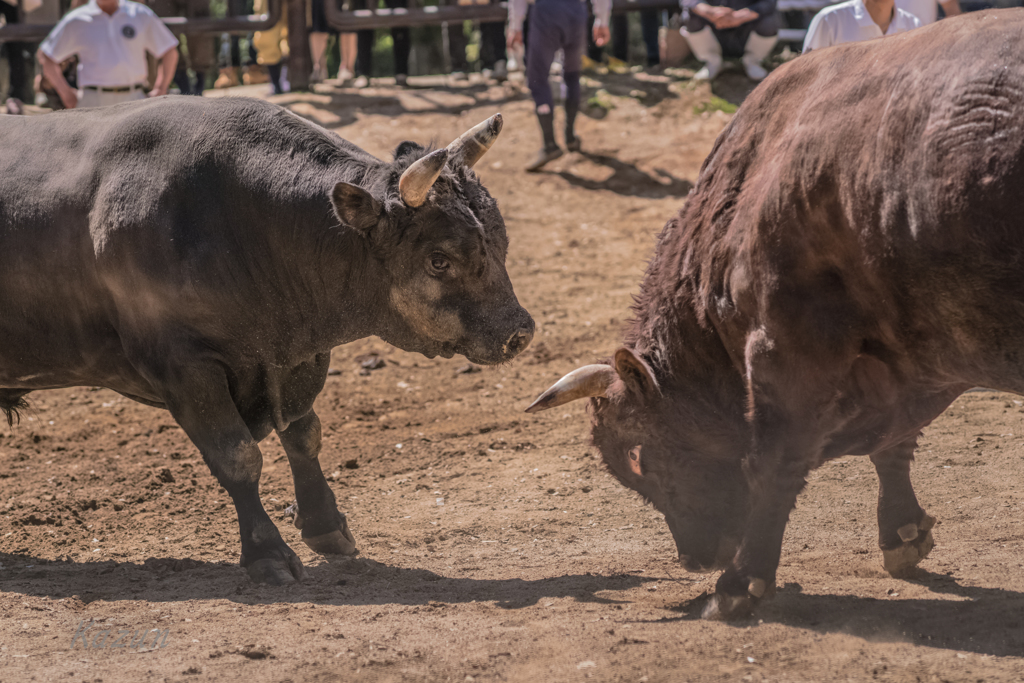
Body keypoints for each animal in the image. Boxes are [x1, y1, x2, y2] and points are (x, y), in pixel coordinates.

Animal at [0, 96, 532, 585]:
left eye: (500, 240)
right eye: (439, 260)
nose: (519, 332)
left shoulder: (294, 360)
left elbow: (303, 436)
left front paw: (323, 524)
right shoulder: (184, 367)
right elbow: (238, 457)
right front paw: (267, 552)